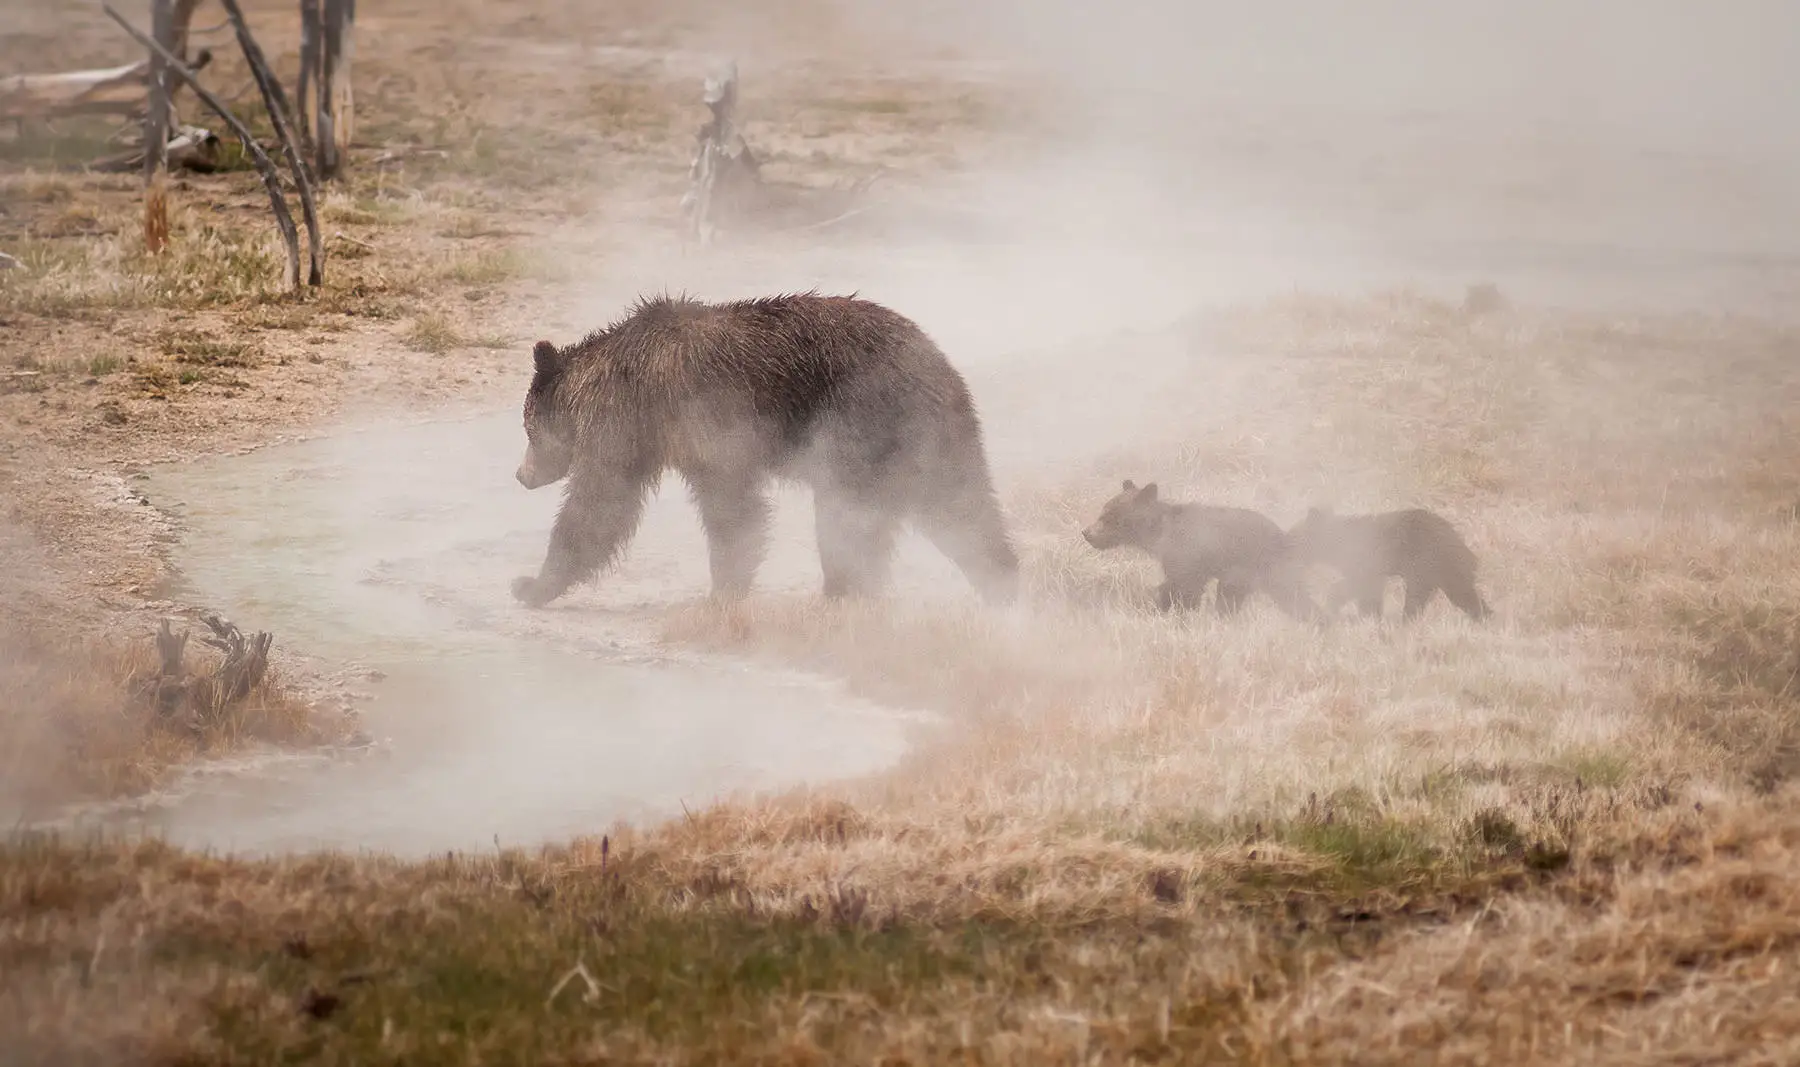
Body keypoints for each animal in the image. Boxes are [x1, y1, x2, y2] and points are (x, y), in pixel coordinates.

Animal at [511, 291, 1015, 608]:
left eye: (527, 428)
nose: (521, 475)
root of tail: (937, 360)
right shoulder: (691, 440)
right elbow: (726, 507)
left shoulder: (654, 423)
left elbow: (599, 506)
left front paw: (530, 584)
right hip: (930, 438)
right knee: (963, 507)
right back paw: (1001, 583)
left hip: (860, 427)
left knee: (854, 517)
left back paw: (841, 592)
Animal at [1072, 475, 1317, 615]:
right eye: (1103, 512)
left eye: (1110, 517)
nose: (1087, 533)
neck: (1158, 535)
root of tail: (1284, 536)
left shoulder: (1187, 556)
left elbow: (1185, 588)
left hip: (1266, 569)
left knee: (1294, 596)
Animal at [1296, 503, 1490, 618]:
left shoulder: (1365, 562)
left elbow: (1358, 585)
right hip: (1441, 570)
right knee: (1461, 592)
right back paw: (1487, 615)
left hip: (1431, 562)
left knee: (1424, 595)